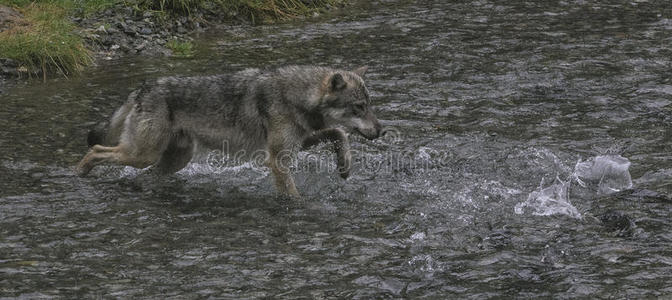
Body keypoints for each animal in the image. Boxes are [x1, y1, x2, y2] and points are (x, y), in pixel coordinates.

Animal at [76, 65, 380, 197]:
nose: (382, 130)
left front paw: (344, 166)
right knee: (96, 149)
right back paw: (80, 174)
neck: (296, 95)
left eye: (370, 106)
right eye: (359, 107)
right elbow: (292, 194)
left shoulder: (300, 142)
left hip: (173, 160)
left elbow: (339, 133)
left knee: (145, 174)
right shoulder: (278, 159)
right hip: (143, 154)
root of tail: (141, 88)